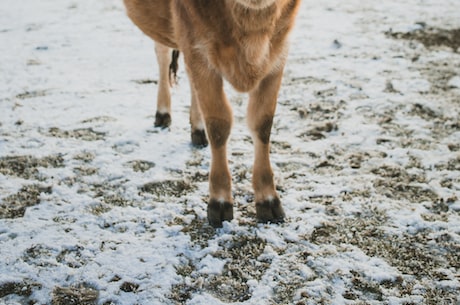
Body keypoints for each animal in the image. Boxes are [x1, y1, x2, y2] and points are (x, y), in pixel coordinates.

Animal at [124, 0, 300, 226]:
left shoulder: (278, 53)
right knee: (162, 53)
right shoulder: (197, 47)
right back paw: (163, 114)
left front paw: (268, 199)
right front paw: (220, 200)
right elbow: (219, 124)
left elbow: (262, 123)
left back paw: (198, 129)